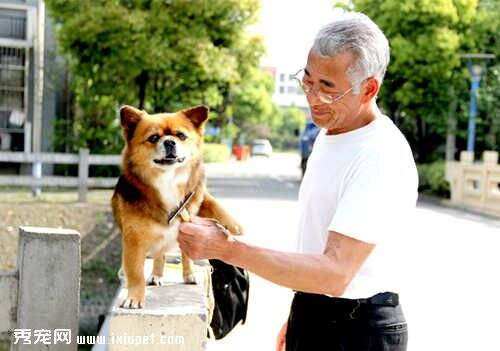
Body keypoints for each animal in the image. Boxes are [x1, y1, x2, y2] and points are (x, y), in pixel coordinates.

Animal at [114, 106, 246, 310]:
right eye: (153, 138)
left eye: (181, 136)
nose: (170, 141)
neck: (167, 180)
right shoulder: (133, 241)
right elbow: (135, 273)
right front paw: (134, 297)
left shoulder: (196, 196)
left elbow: (211, 202)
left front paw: (233, 225)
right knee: (160, 256)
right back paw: (156, 275)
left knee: (185, 255)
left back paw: (189, 274)